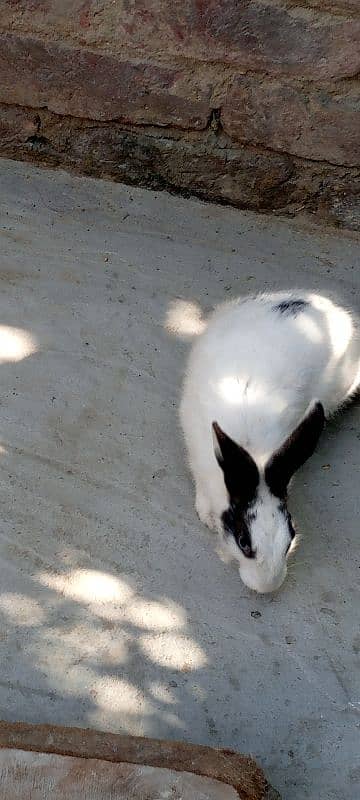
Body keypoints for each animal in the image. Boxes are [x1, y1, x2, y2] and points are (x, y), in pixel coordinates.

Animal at [180, 290, 360, 592]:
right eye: (244, 542)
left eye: (290, 538)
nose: (267, 587)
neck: (254, 454)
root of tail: (331, 309)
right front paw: (207, 518)